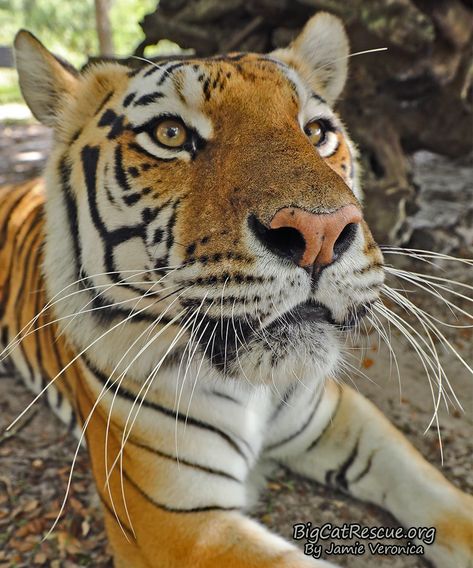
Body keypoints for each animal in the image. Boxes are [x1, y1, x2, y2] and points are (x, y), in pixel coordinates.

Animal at [0, 10, 472, 568]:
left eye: (317, 131)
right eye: (170, 133)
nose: (321, 233)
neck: (255, 390)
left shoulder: (341, 414)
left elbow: (434, 490)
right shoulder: (179, 524)